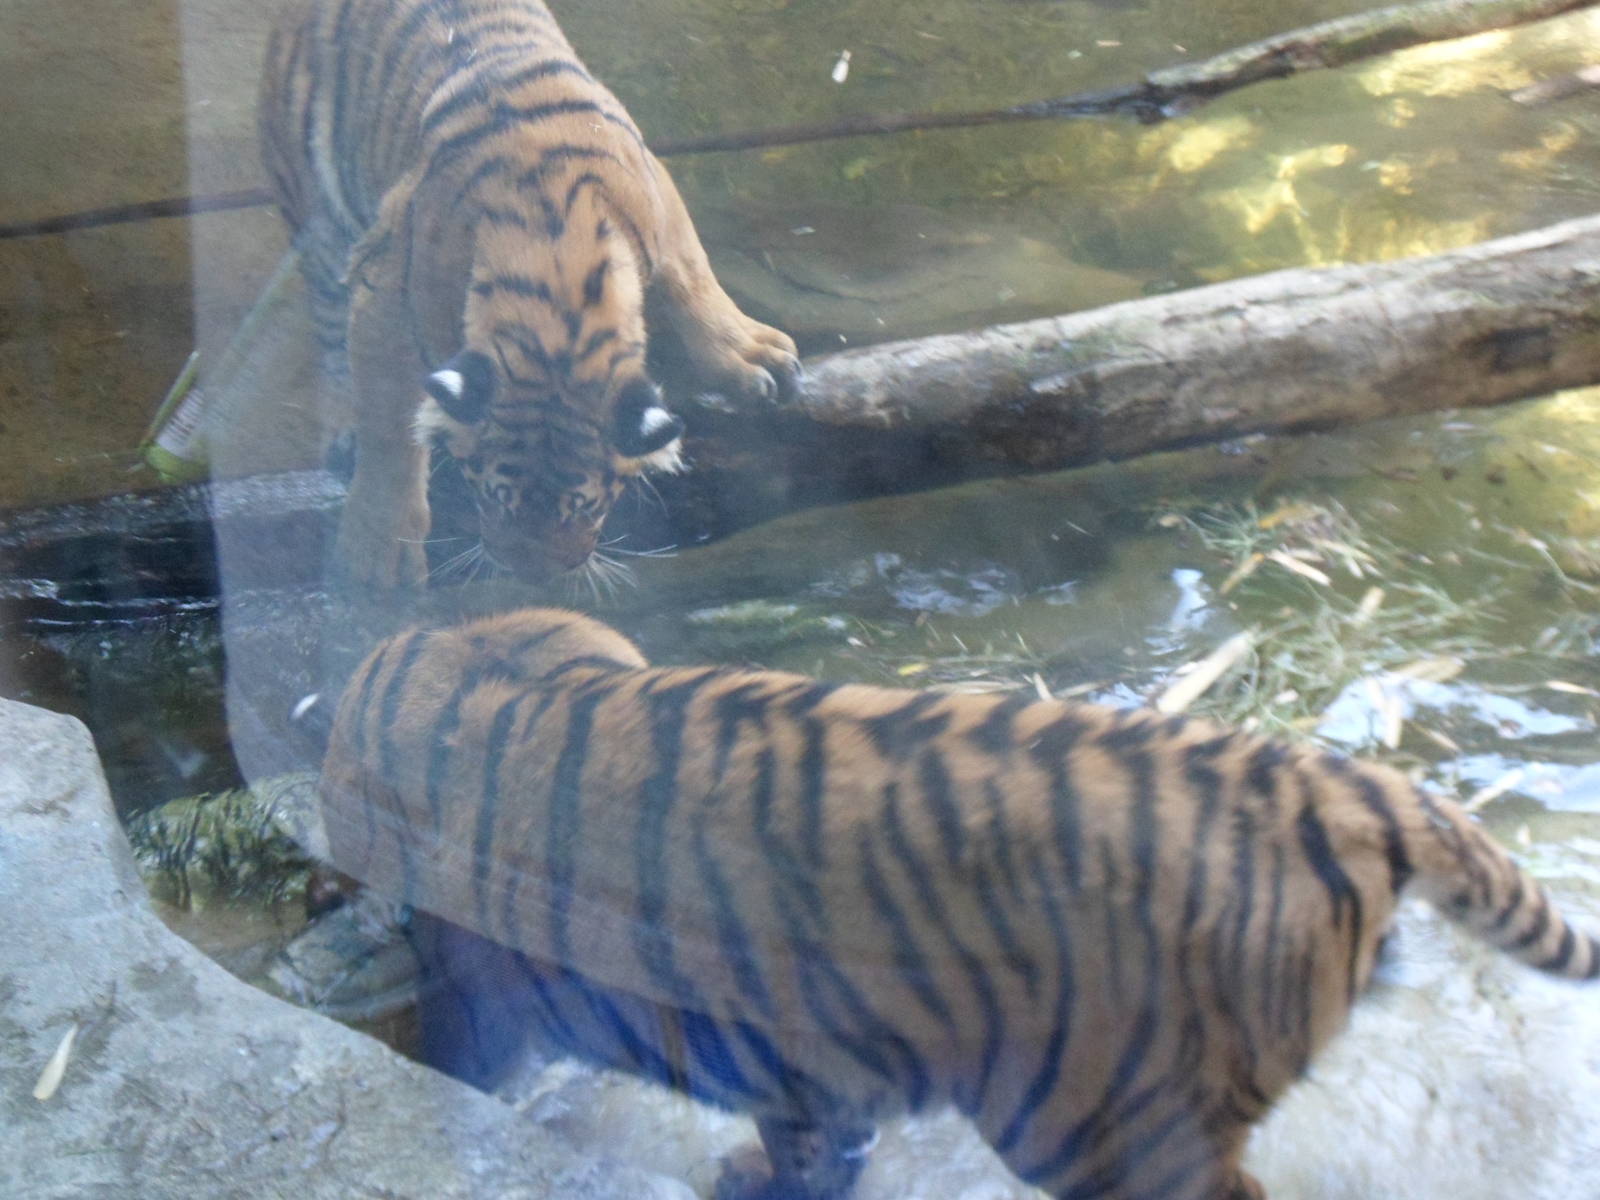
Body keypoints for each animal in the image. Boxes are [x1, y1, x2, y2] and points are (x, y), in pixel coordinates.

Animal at [258, 0, 800, 589]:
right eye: (493, 494)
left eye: (586, 506)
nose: (533, 574)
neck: (562, 280)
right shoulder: (389, 300)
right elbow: (389, 433)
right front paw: (376, 557)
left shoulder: (658, 192)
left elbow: (692, 272)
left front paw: (753, 357)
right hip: (316, 211)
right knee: (329, 326)